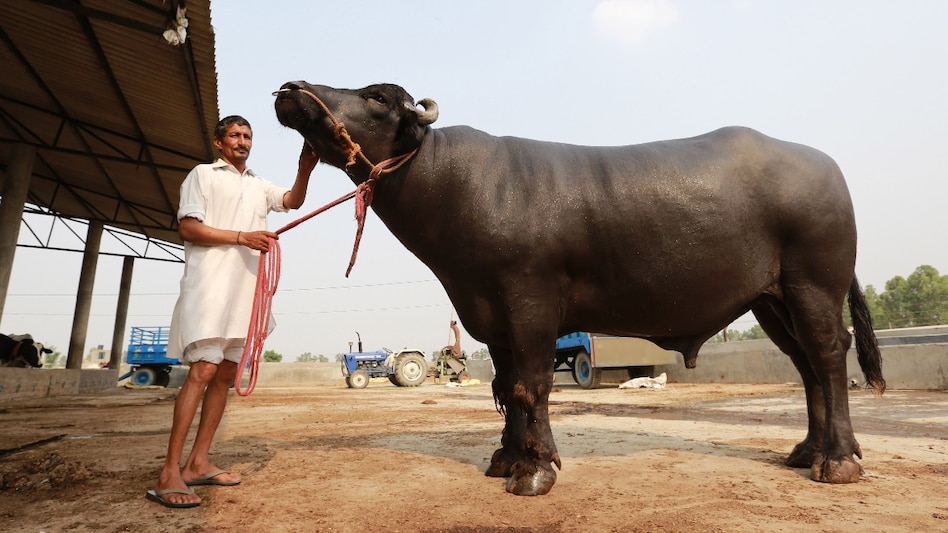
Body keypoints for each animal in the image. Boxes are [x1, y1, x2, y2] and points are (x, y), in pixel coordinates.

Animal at [274, 81, 885, 496]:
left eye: (377, 95)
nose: (290, 90)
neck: (458, 187)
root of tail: (827, 170)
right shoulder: (488, 311)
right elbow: (505, 384)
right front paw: (507, 458)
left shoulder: (530, 301)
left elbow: (532, 387)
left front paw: (536, 469)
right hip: (772, 301)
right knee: (806, 366)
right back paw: (809, 450)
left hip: (813, 284)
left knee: (829, 356)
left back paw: (838, 462)